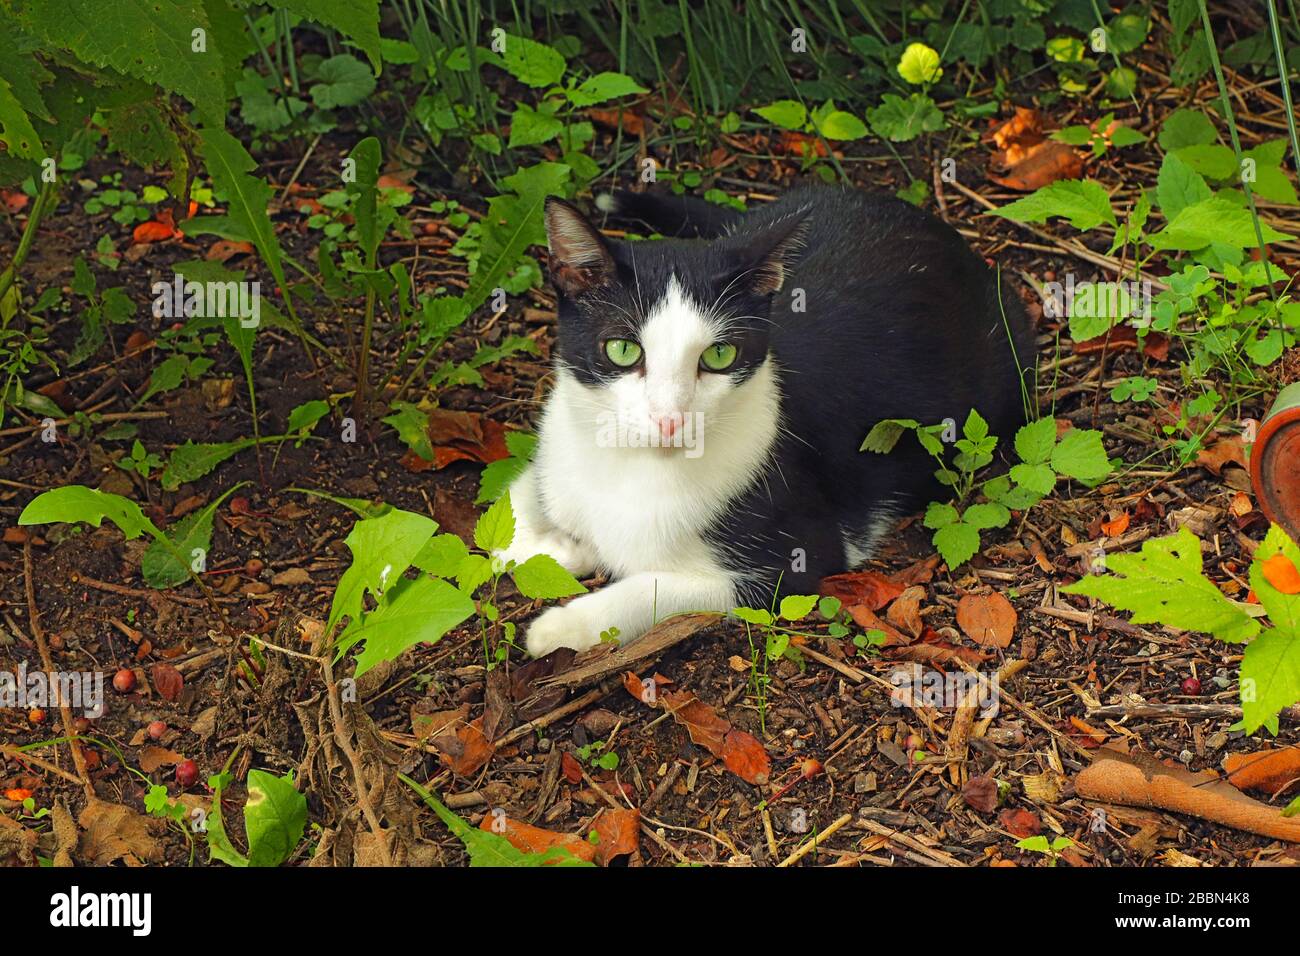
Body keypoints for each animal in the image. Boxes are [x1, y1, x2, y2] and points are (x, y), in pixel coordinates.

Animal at [499, 191, 1034, 660]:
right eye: (622, 349)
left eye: (719, 355)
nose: (669, 420)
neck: (631, 467)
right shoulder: (555, 449)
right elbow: (507, 518)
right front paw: (564, 547)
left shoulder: (798, 556)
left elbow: (655, 587)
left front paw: (561, 625)